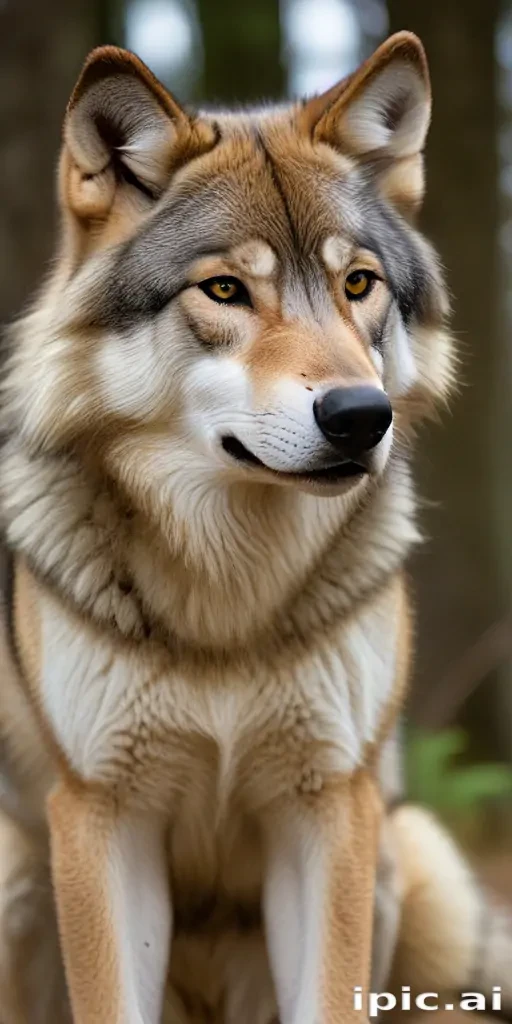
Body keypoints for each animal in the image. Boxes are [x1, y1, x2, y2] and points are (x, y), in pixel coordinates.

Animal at [0, 29, 510, 1024]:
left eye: (359, 284)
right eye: (227, 290)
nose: (360, 416)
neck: (228, 601)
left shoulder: (328, 808)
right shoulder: (104, 813)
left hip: (420, 864)